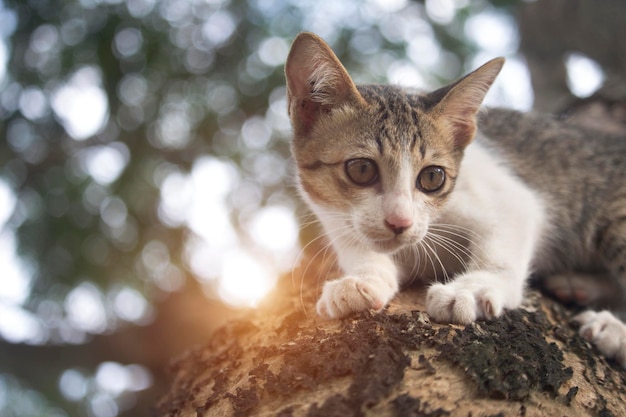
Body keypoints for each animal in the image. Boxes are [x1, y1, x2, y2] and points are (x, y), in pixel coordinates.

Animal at [284, 31, 624, 368]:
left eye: (433, 178)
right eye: (362, 169)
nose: (400, 222)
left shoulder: (513, 199)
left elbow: (503, 240)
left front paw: (474, 288)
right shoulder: (336, 218)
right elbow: (359, 246)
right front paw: (363, 278)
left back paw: (613, 329)